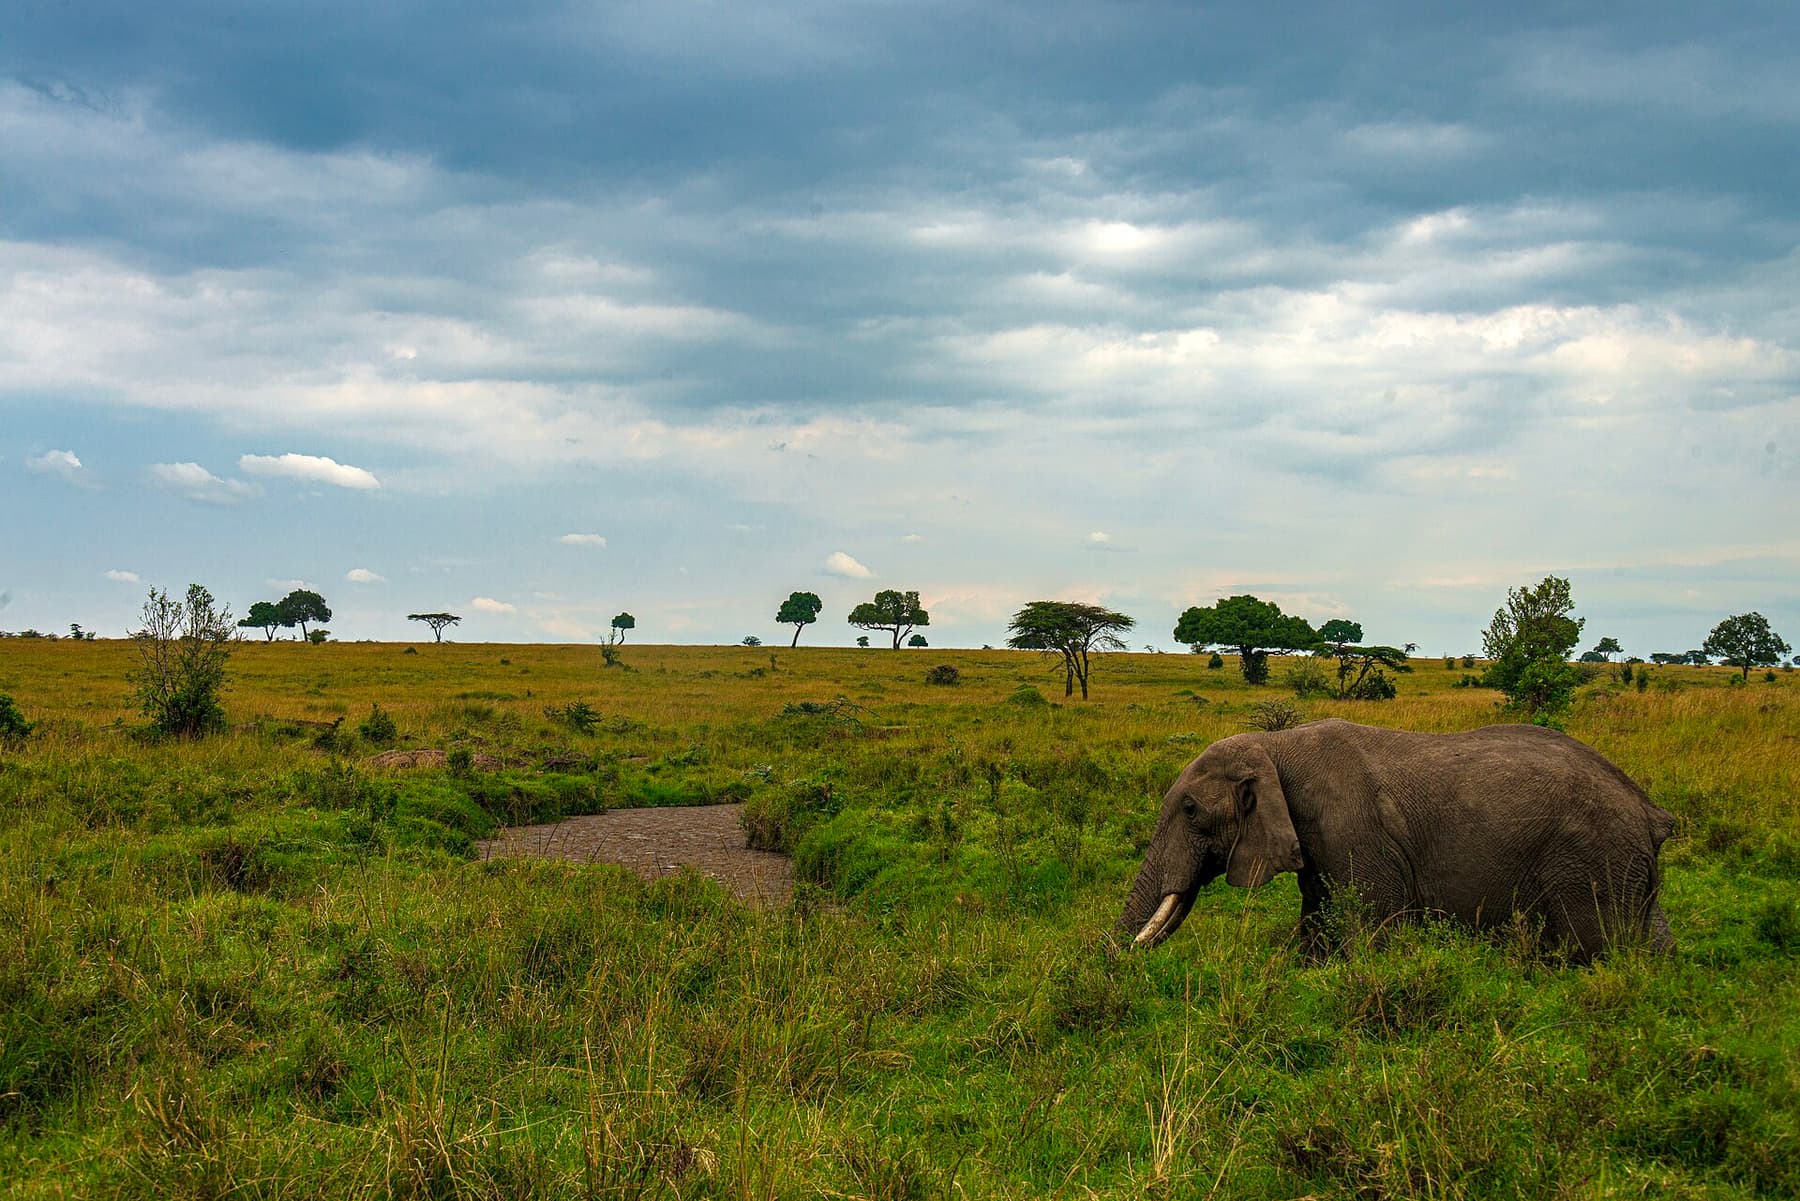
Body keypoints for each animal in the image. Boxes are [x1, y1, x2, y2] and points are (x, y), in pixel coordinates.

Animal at [1118, 719, 1676, 962]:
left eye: (1191, 811)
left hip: (1592, 864)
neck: (1277, 746)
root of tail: (1649, 811)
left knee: (1595, 950)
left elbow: (1372, 930)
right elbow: (1317, 924)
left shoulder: (1355, 833)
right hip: (1624, 868)